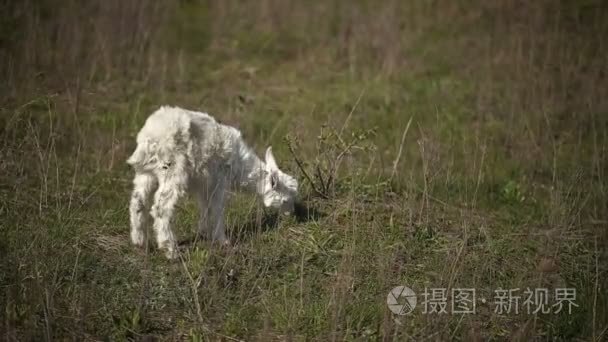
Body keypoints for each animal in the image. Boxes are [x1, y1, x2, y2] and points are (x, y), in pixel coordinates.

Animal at [127, 105, 298, 258]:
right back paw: (170, 250)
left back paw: (140, 242)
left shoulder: (204, 184)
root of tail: (150, 136)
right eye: (286, 200)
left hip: (146, 173)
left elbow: (205, 207)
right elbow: (217, 209)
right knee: (161, 208)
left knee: (137, 201)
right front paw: (222, 240)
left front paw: (204, 232)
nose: (291, 216)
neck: (240, 164)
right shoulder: (218, 181)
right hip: (172, 170)